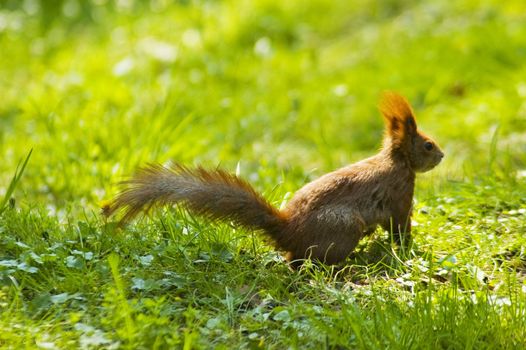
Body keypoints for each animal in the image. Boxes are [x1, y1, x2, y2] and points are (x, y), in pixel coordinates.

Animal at [103, 92, 446, 266]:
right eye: (428, 145)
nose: (442, 155)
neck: (397, 161)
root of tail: (289, 231)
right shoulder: (400, 194)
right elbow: (400, 226)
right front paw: (407, 248)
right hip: (344, 225)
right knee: (301, 261)